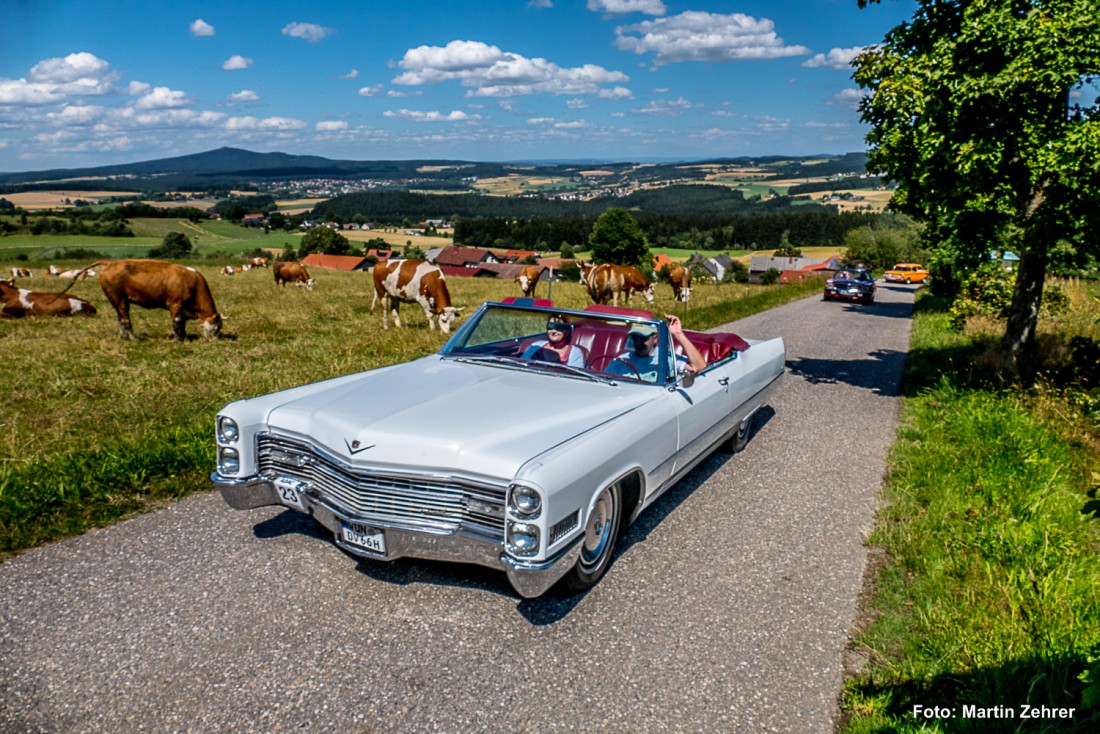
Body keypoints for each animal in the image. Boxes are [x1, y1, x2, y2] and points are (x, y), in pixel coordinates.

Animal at [54, 259, 222, 343]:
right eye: (217, 328)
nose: (216, 340)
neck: (192, 282)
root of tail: (110, 263)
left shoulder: (184, 308)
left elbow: (183, 323)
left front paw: (185, 337)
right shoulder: (175, 304)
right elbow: (177, 323)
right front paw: (178, 340)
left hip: (119, 301)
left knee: (121, 320)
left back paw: (125, 338)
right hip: (119, 299)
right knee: (126, 320)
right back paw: (135, 339)